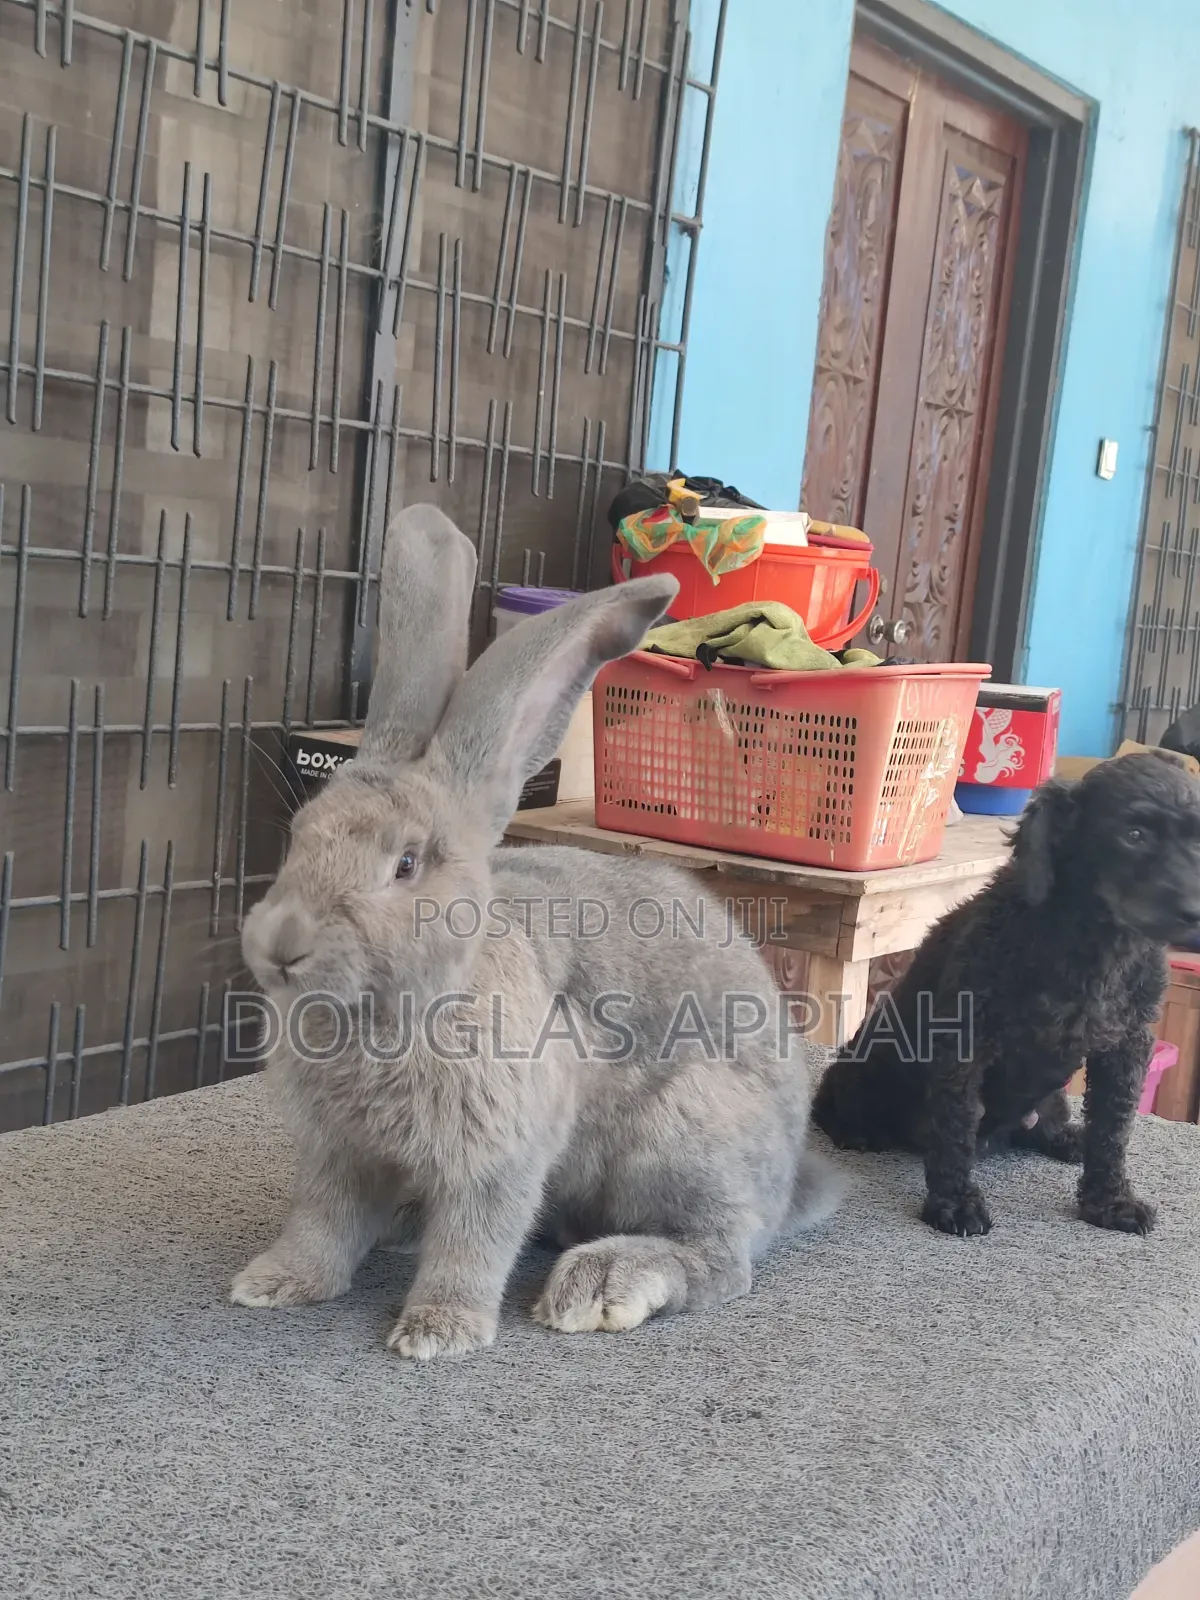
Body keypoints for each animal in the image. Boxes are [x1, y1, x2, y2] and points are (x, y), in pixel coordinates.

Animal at [233, 503, 840, 1360]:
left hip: (686, 1133)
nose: (280, 945)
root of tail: (790, 1179)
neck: (399, 1010)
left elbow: (475, 1242)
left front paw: (439, 1330)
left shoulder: (501, 1156)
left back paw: (603, 1283)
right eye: (298, 837)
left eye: (408, 864)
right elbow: (322, 1225)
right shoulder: (336, 1156)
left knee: (722, 1257)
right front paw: (274, 1283)